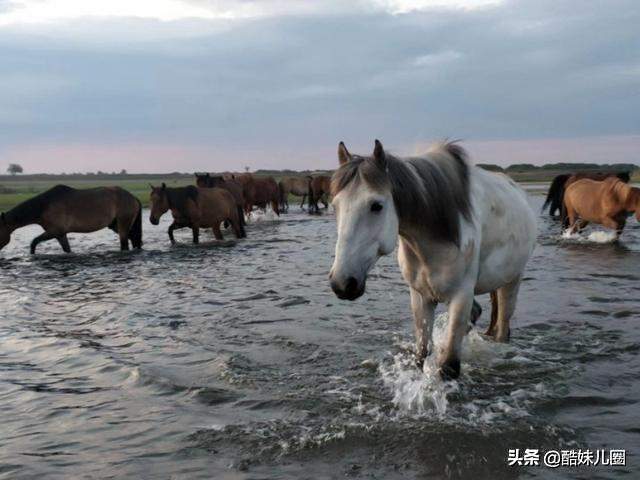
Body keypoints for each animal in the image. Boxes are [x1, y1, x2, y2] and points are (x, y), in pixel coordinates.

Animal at [0, 184, 141, 253]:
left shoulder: (54, 231)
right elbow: (67, 249)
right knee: (134, 240)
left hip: (122, 225)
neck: (44, 206)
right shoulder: (60, 234)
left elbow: (33, 243)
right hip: (115, 225)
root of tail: (132, 197)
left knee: (125, 244)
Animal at [330, 139, 536, 378]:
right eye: (335, 206)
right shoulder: (421, 296)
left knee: (502, 329)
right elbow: (421, 355)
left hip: (511, 281)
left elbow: (448, 367)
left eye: (376, 206)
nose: (342, 283)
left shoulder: (461, 296)